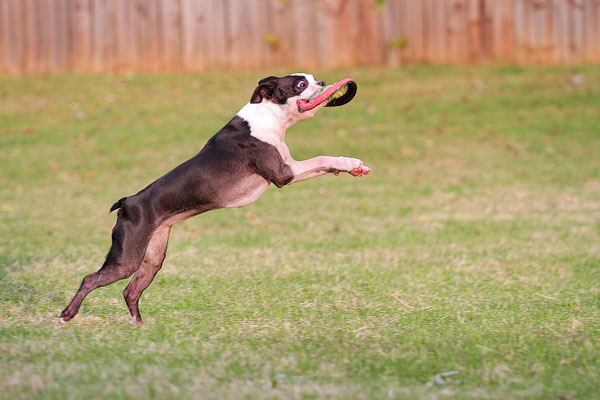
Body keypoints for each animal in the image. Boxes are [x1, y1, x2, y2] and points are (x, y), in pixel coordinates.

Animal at [59, 74, 370, 324]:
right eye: (301, 84)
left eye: (314, 79)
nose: (322, 82)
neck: (268, 117)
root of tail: (129, 202)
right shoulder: (284, 174)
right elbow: (321, 157)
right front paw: (349, 161)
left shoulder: (290, 168)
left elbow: (322, 164)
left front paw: (352, 167)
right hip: (126, 259)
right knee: (91, 279)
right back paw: (66, 316)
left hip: (152, 258)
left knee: (130, 290)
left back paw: (138, 325)